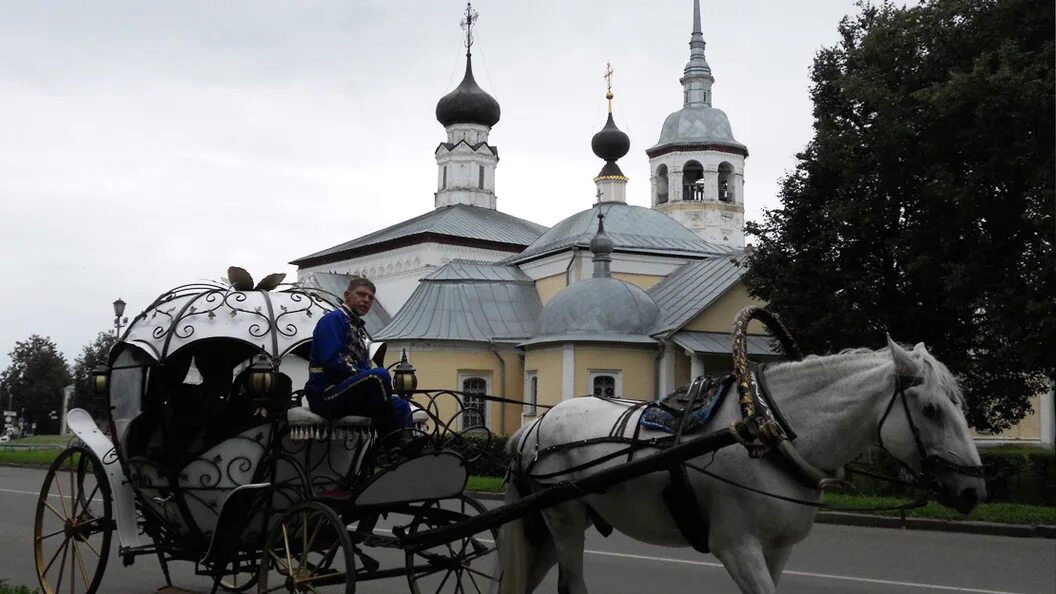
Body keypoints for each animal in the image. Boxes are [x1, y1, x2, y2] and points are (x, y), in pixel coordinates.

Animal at [498, 338, 984, 591]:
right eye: (931, 410)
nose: (974, 490)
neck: (764, 431)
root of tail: (536, 424)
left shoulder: (777, 549)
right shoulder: (736, 547)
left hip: (556, 524)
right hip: (563, 519)